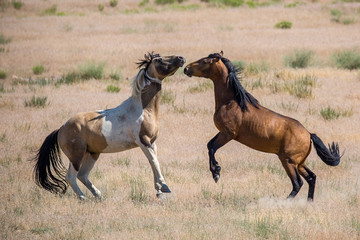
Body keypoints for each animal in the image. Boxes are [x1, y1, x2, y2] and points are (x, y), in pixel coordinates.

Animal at [31, 53, 186, 201]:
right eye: (159, 59)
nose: (181, 58)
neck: (143, 110)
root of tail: (60, 129)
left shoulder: (152, 143)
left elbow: (153, 162)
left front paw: (159, 191)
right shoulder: (143, 142)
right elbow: (154, 161)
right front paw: (164, 187)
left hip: (92, 154)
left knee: (82, 175)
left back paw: (98, 195)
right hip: (76, 156)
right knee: (71, 176)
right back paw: (83, 197)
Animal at [184, 51, 342, 201]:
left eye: (205, 61)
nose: (186, 68)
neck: (231, 101)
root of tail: (309, 134)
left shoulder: (228, 134)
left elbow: (212, 148)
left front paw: (216, 173)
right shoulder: (223, 133)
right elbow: (209, 145)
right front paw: (216, 170)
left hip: (288, 162)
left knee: (298, 183)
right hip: (300, 163)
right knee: (311, 178)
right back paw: (309, 202)